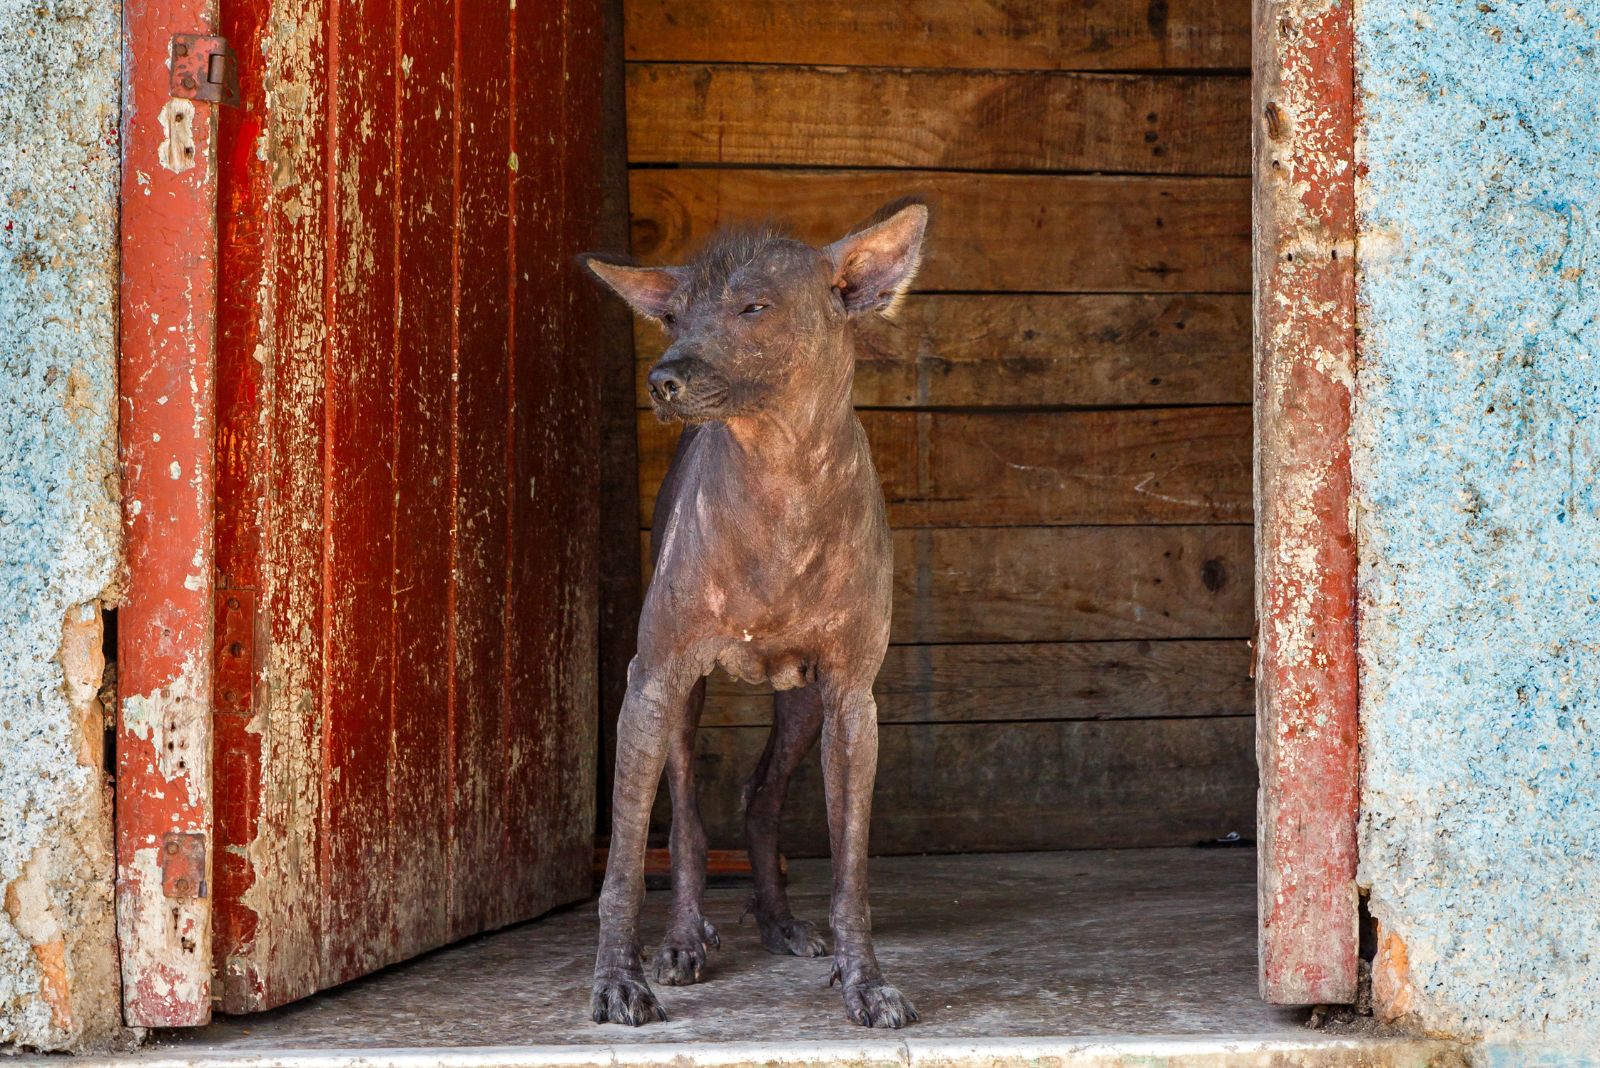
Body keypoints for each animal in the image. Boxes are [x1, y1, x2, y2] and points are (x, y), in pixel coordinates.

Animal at [579, 198, 928, 1023]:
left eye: (754, 308)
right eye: (673, 316)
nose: (663, 379)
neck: (782, 481)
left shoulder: (851, 700)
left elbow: (852, 872)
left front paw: (864, 979)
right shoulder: (651, 681)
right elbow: (626, 864)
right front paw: (619, 978)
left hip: (803, 706)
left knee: (760, 798)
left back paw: (778, 919)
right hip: (679, 701)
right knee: (688, 823)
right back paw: (683, 938)